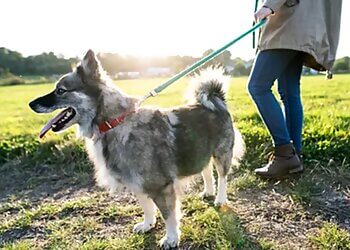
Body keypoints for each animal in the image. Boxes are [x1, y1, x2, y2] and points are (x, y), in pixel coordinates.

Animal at [29, 49, 243, 249]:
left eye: (61, 90)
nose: (31, 103)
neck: (113, 123)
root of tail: (216, 101)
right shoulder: (136, 181)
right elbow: (146, 206)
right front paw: (148, 224)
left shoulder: (161, 186)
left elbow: (168, 215)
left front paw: (171, 237)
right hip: (199, 152)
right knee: (206, 171)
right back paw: (208, 191)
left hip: (222, 154)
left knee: (222, 176)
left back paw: (220, 198)